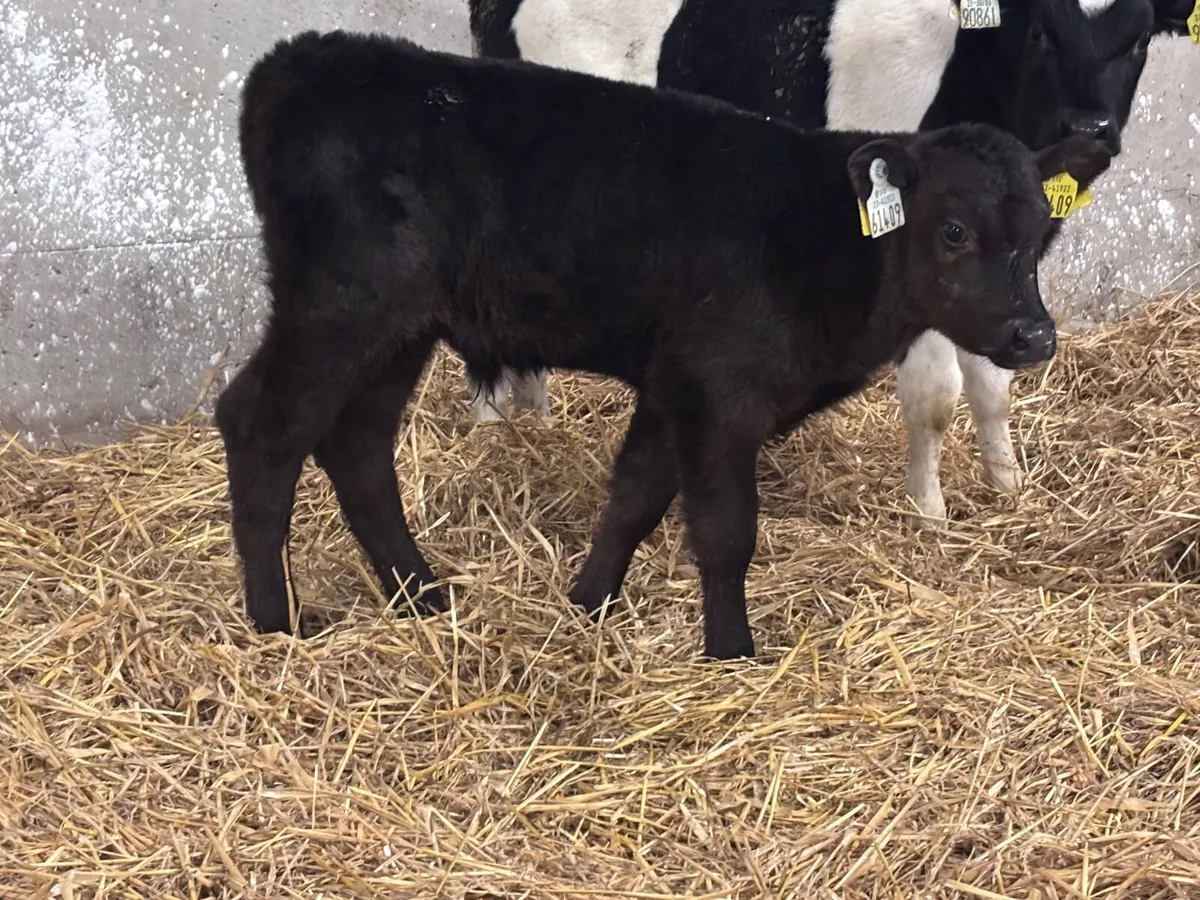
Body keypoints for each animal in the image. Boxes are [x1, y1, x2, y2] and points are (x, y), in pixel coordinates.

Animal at [216, 30, 1112, 658]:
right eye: (954, 231)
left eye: (1040, 228)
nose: (1034, 334)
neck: (828, 238)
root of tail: (299, 59)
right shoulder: (717, 391)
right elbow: (724, 529)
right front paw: (733, 654)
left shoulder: (672, 382)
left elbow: (634, 499)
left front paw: (589, 605)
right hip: (339, 307)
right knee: (262, 427)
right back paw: (275, 624)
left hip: (398, 329)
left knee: (357, 446)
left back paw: (422, 596)